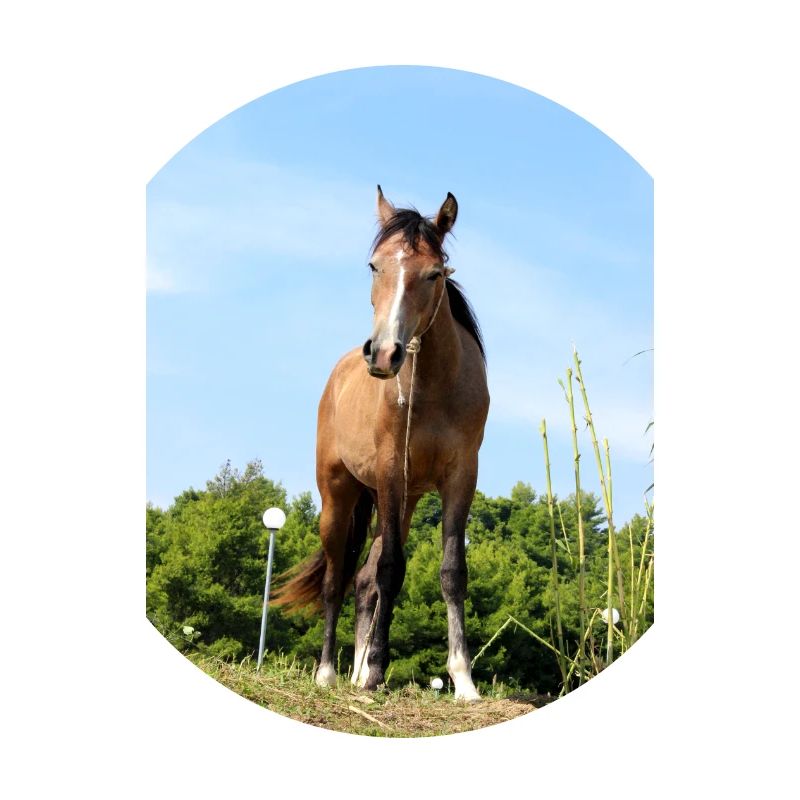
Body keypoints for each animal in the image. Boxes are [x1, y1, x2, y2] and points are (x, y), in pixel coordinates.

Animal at [273, 186, 489, 701]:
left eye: (434, 274)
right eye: (374, 266)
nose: (384, 353)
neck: (432, 387)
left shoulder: (460, 477)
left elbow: (451, 572)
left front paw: (463, 679)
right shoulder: (392, 472)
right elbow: (392, 570)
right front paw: (374, 672)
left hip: (402, 501)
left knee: (363, 580)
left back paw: (353, 671)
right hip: (340, 497)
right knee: (337, 581)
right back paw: (331, 673)